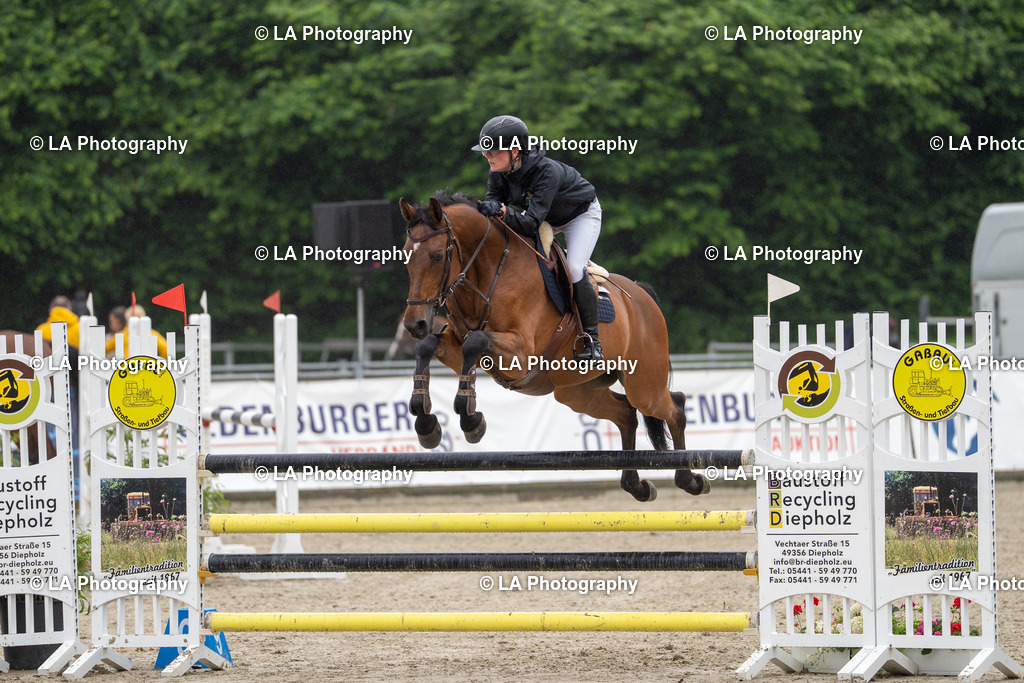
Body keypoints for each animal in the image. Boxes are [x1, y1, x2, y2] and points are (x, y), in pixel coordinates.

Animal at [398, 189, 710, 502]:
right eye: (406, 258)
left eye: (438, 256)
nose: (415, 324)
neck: (488, 274)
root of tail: (642, 296)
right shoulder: (454, 346)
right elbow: (430, 346)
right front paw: (426, 423)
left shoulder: (520, 355)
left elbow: (475, 342)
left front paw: (470, 419)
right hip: (576, 392)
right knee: (626, 414)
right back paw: (637, 485)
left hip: (643, 385)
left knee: (674, 406)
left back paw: (690, 480)